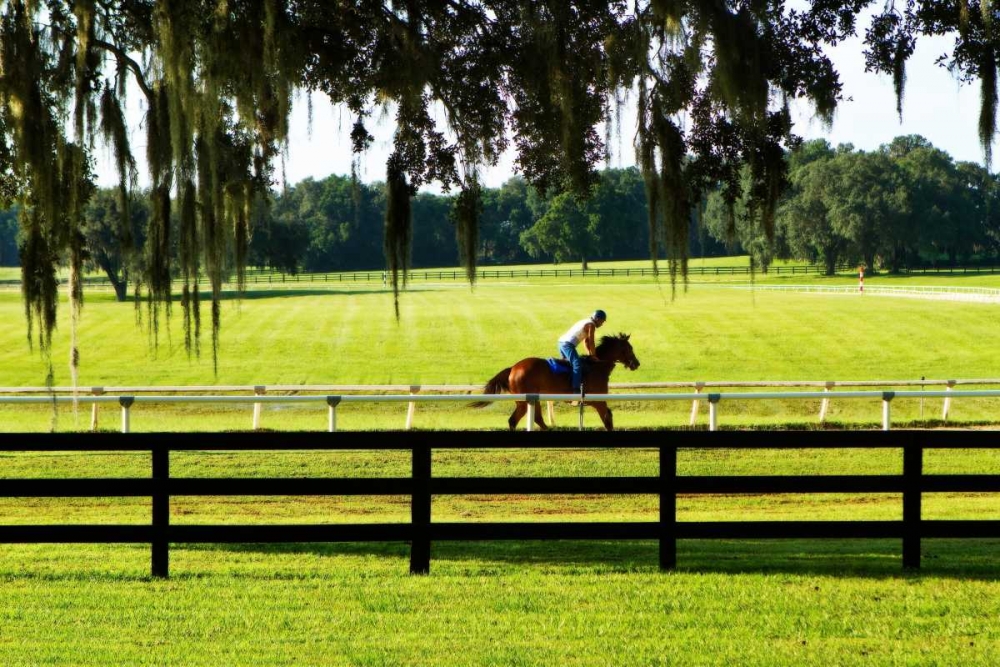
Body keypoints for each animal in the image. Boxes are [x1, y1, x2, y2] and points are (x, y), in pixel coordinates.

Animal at [468, 334, 640, 434]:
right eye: (629, 348)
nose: (636, 363)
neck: (597, 366)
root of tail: (513, 368)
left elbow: (608, 417)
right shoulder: (598, 401)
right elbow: (607, 418)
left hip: (531, 398)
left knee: (529, 419)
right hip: (525, 400)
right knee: (520, 419)